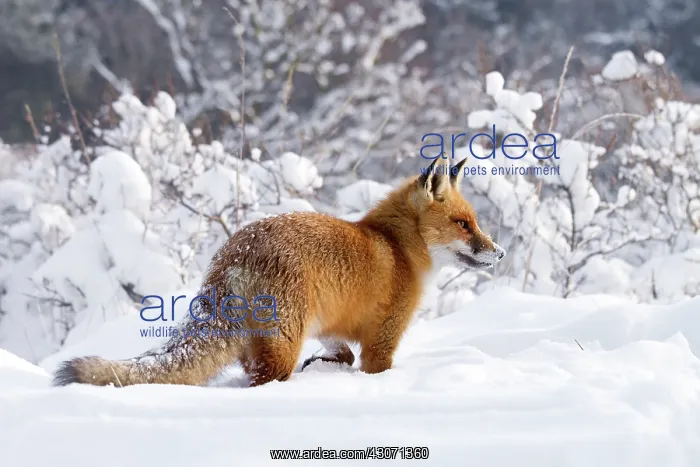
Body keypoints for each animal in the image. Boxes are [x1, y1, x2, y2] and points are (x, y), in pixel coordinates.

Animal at [53, 156, 505, 388]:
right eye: (464, 224)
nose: (500, 253)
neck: (396, 247)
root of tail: (235, 251)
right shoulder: (382, 342)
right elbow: (372, 366)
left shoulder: (329, 321)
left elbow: (341, 352)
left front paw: (327, 364)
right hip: (284, 343)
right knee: (263, 379)